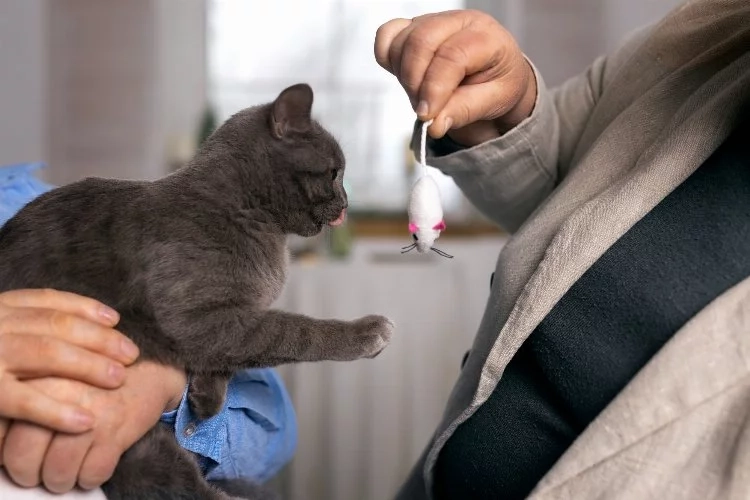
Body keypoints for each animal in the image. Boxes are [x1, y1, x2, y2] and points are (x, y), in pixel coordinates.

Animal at [0, 83, 394, 499]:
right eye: (334, 172)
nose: (347, 204)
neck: (249, 214)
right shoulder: (197, 317)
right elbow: (293, 331)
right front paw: (367, 332)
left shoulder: (223, 323)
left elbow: (230, 356)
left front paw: (205, 399)